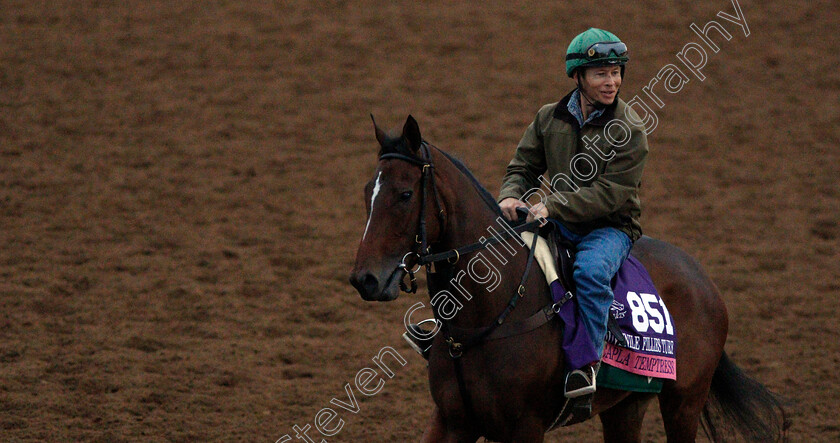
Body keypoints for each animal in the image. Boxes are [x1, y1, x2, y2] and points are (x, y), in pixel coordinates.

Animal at [350, 116, 788, 442]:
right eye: (367, 191)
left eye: (405, 194)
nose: (364, 279)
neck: (488, 316)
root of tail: (702, 279)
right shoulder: (451, 421)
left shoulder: (525, 428)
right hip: (626, 404)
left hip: (684, 402)